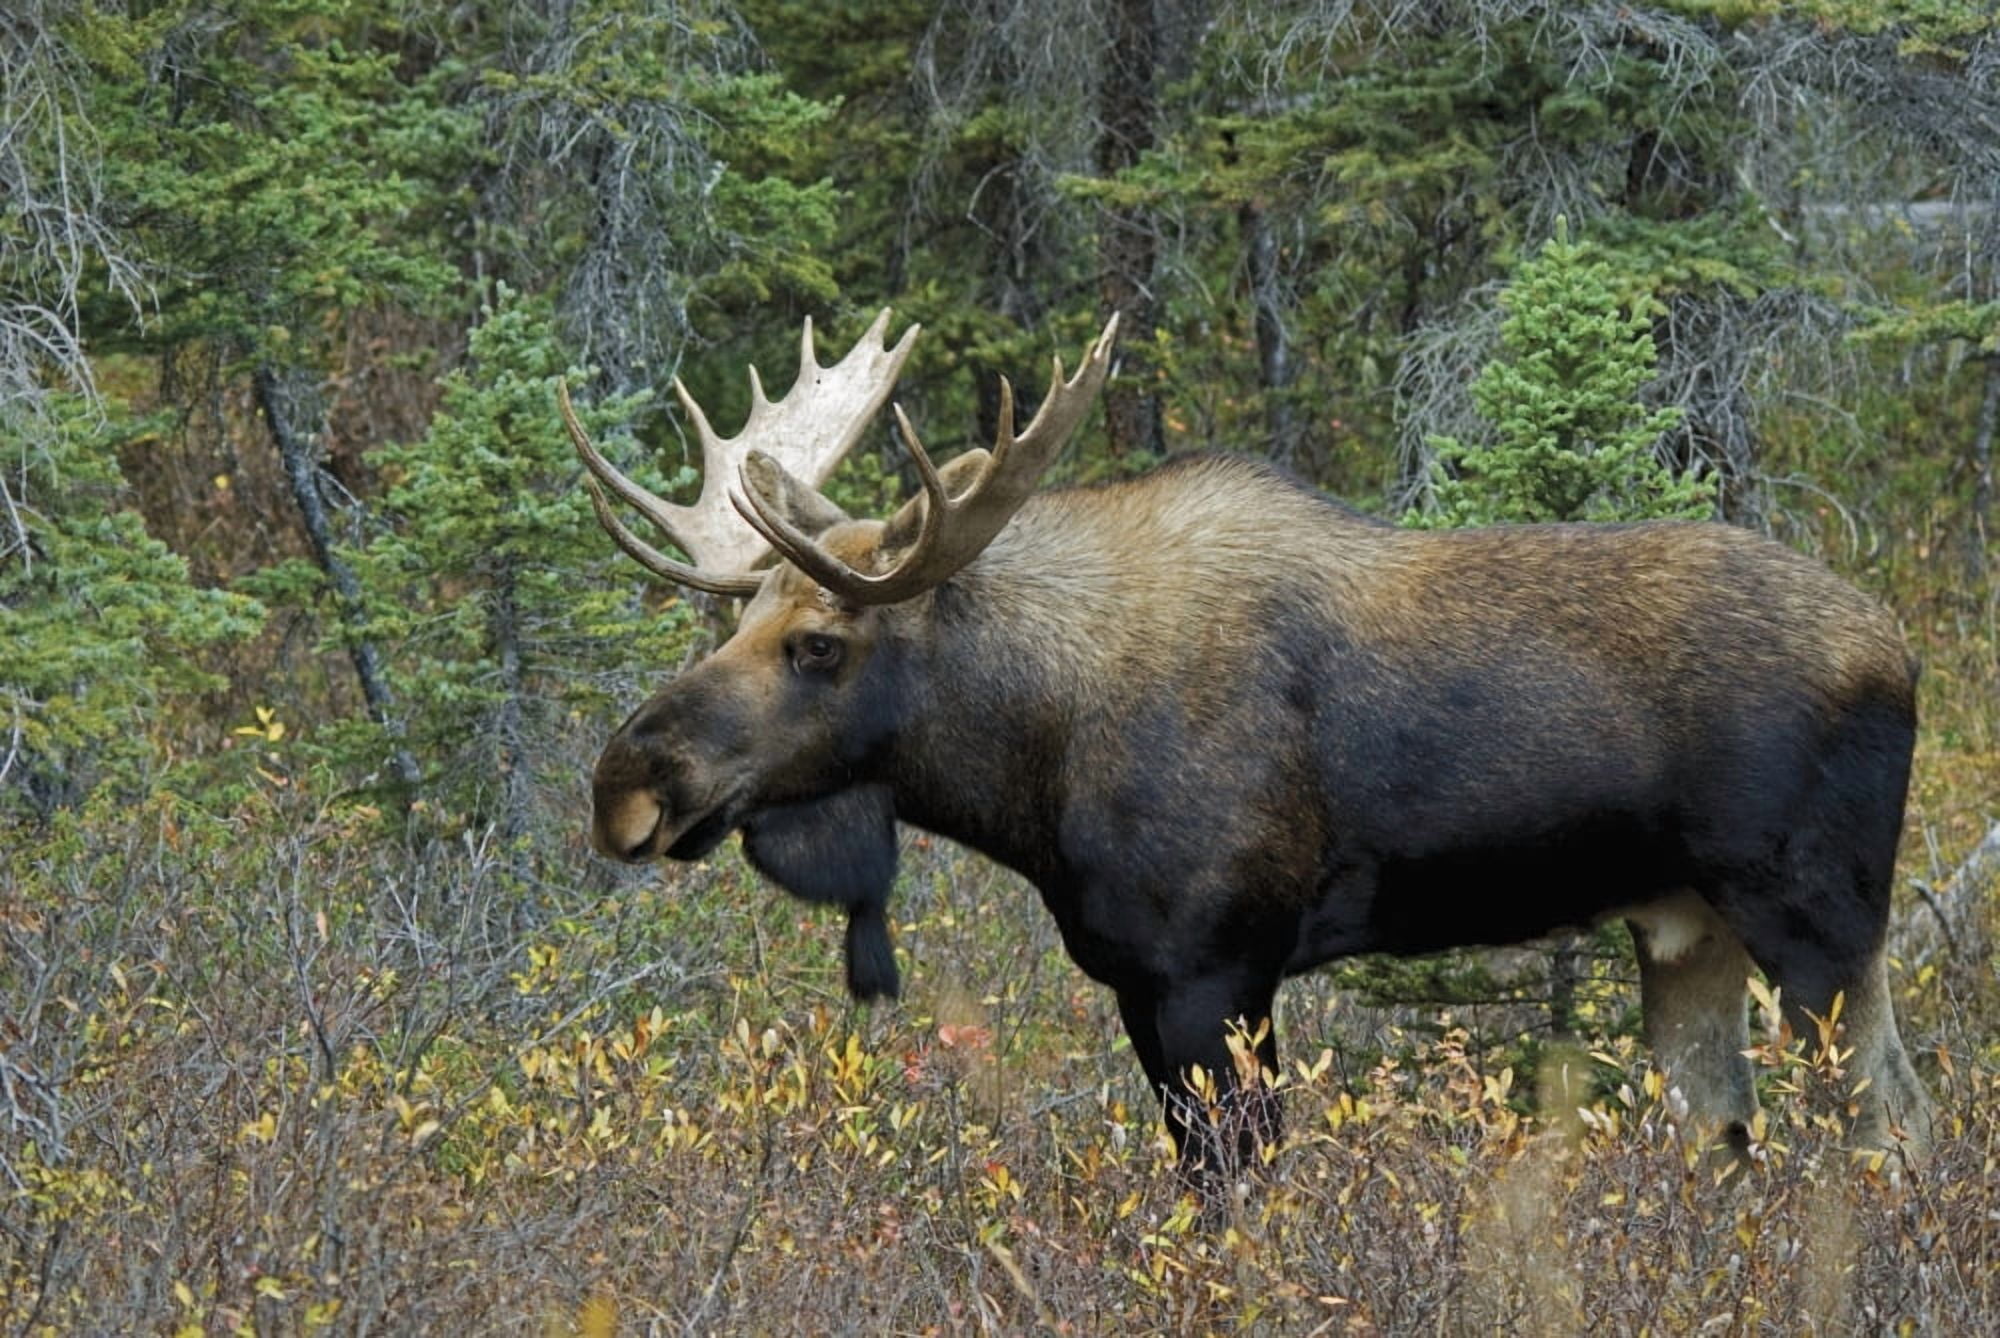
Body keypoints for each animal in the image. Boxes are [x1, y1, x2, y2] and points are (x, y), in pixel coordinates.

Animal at [562, 309, 1933, 1187]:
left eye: (818, 645)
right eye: (735, 616)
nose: (625, 786)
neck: (1029, 767)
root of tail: (1901, 648)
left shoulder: (1215, 968)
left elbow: (1239, 1197)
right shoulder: (1136, 980)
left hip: (1814, 917)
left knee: (1889, 1125)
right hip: (1683, 925)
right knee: (1725, 1134)